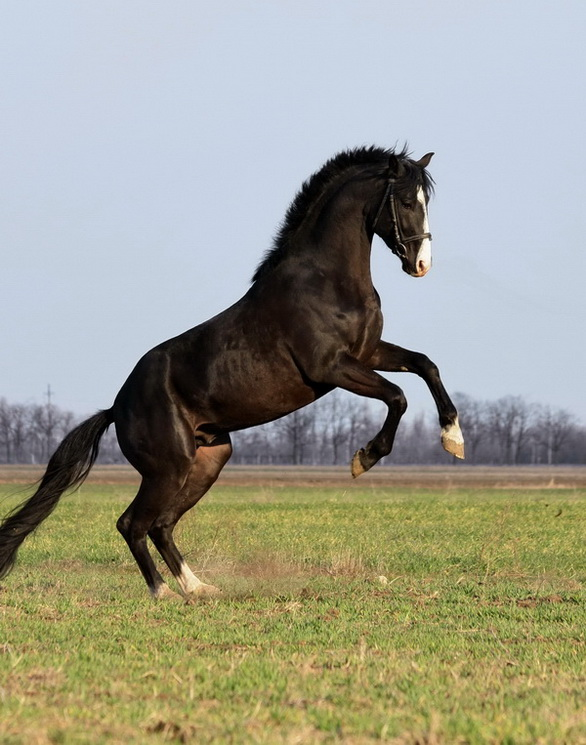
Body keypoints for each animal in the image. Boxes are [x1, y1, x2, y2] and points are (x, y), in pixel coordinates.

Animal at [1, 144, 466, 600]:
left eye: (426, 201)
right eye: (406, 202)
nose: (421, 264)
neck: (326, 282)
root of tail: (116, 407)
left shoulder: (367, 353)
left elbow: (425, 365)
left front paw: (453, 438)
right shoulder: (332, 367)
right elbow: (397, 396)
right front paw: (364, 458)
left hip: (208, 461)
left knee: (161, 525)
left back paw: (198, 587)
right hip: (168, 469)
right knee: (132, 523)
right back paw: (162, 593)